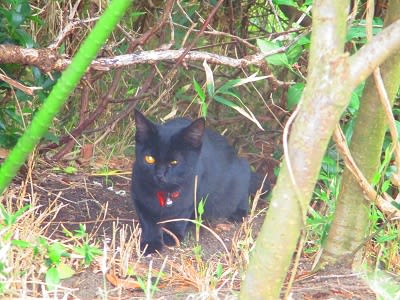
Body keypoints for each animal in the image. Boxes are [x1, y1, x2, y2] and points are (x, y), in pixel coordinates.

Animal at [130, 109, 264, 254]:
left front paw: (173, 235)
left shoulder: (191, 195)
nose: (159, 175)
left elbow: (180, 216)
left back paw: (239, 212)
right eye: (149, 159)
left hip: (240, 172)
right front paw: (150, 243)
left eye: (174, 162)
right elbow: (148, 222)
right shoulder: (139, 196)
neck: (165, 194)